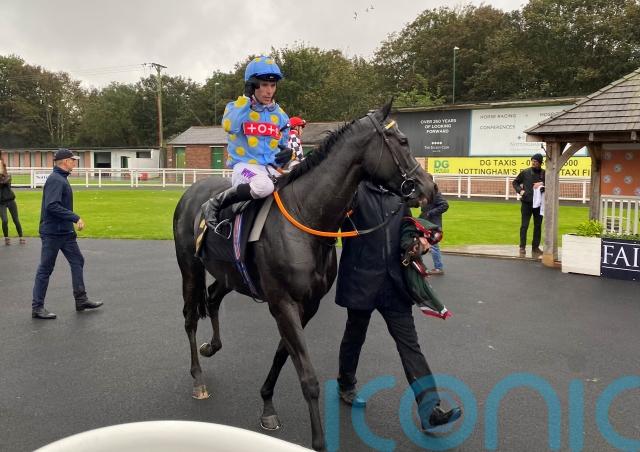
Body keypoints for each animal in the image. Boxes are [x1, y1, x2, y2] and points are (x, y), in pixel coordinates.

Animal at [173, 101, 436, 450]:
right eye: (403, 141)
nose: (429, 186)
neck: (306, 217)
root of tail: (193, 191)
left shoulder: (307, 305)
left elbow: (283, 354)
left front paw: (267, 403)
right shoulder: (283, 303)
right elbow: (308, 376)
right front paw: (318, 440)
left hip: (230, 274)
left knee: (213, 299)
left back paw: (211, 346)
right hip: (189, 267)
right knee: (190, 317)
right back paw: (198, 378)